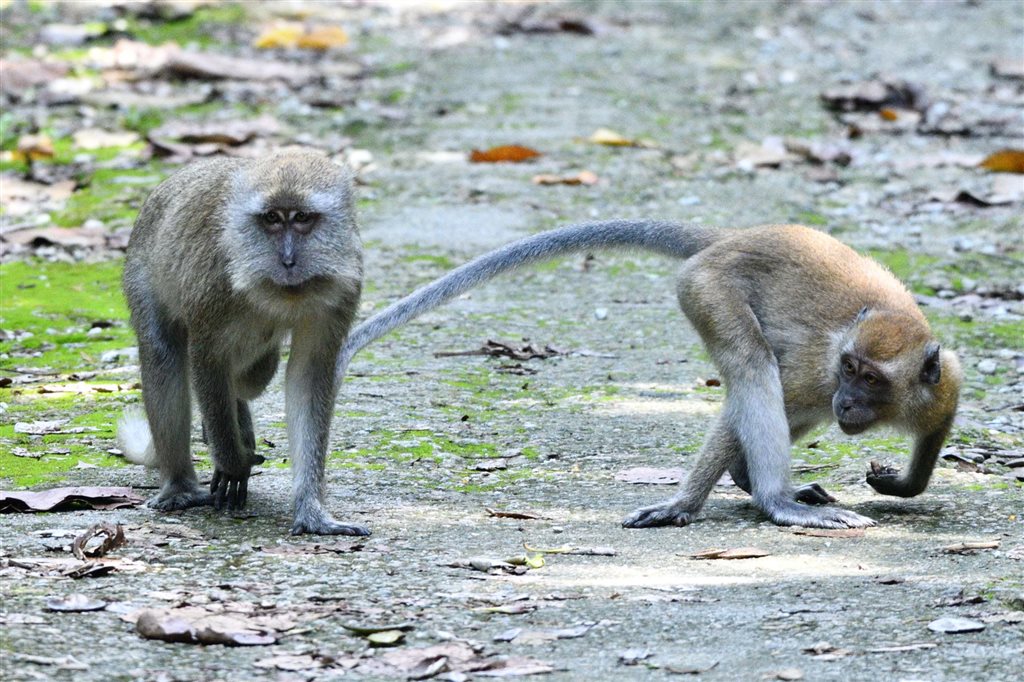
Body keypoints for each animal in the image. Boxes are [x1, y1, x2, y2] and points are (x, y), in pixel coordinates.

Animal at [117, 148, 366, 536]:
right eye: (272, 219)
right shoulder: (214, 286)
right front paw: (233, 464)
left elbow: (308, 375)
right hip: (142, 271)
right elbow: (206, 359)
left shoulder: (344, 288)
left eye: (302, 218)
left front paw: (311, 509)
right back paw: (181, 486)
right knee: (165, 356)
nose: (288, 260)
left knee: (254, 374)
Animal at [335, 220, 958, 528]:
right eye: (849, 368)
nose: (846, 403)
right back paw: (775, 501)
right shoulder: (815, 377)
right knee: (754, 369)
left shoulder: (944, 386)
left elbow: (933, 433)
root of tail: (726, 240)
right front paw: (683, 505)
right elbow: (753, 396)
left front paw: (899, 483)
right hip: (706, 287)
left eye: (871, 379)